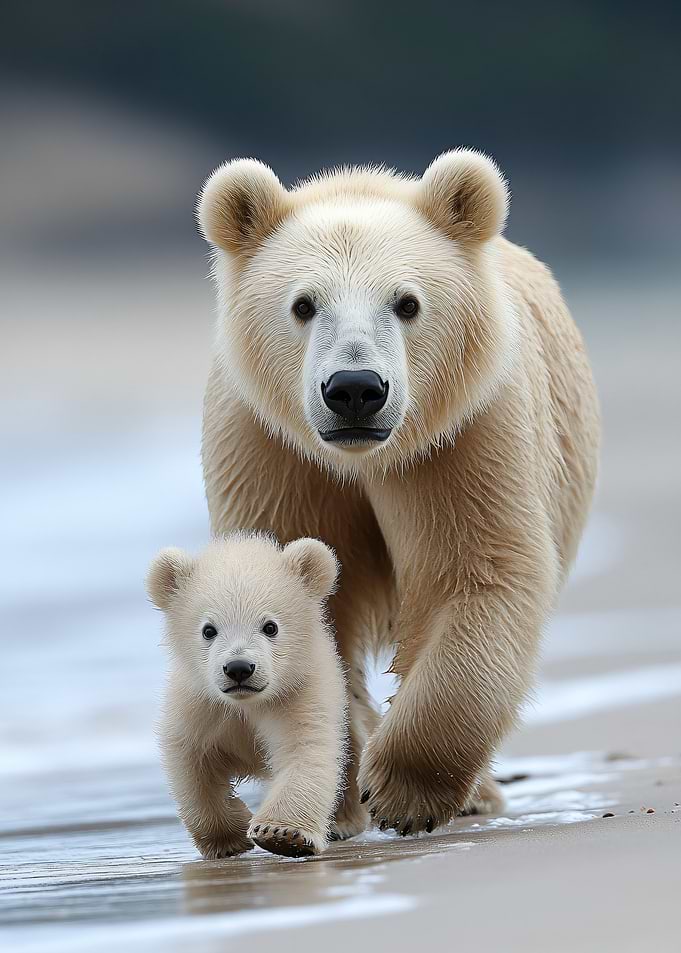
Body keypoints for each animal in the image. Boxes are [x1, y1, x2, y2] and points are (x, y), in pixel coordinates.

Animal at [146, 533, 348, 858]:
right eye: (208, 630)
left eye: (270, 626)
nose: (239, 668)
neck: (246, 704)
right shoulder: (201, 705)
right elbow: (192, 764)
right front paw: (228, 838)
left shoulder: (296, 695)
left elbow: (305, 750)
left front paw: (282, 833)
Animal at [196, 148, 601, 837]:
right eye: (303, 304)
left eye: (407, 303)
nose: (355, 389)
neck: (360, 461)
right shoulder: (272, 452)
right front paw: (336, 802)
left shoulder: (461, 438)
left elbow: (479, 570)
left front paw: (402, 792)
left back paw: (478, 795)